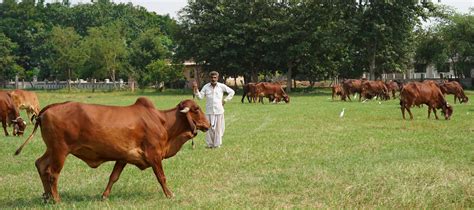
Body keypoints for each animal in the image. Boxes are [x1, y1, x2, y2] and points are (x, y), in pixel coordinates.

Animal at [14, 98, 209, 203]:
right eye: (197, 109)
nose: (208, 124)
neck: (163, 121)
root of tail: (47, 110)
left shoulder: (123, 157)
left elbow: (113, 177)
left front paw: (104, 195)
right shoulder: (154, 155)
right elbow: (161, 177)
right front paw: (169, 194)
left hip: (51, 150)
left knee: (40, 165)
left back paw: (47, 196)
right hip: (60, 151)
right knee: (52, 173)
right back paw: (56, 200)